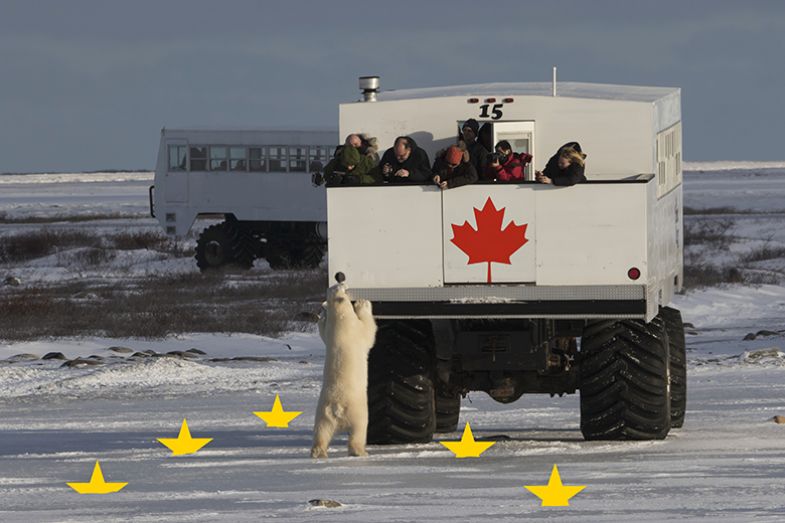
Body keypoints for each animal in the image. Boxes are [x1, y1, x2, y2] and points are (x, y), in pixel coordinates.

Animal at [311, 282, 377, 459]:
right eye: (338, 287)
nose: (342, 282)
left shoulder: (331, 333)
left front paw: (321, 317)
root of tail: (336, 407)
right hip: (357, 410)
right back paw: (360, 451)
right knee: (359, 429)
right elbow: (368, 331)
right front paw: (362, 303)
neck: (340, 320)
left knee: (321, 431)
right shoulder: (355, 330)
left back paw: (318, 452)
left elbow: (323, 333)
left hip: (322, 414)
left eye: (333, 287)